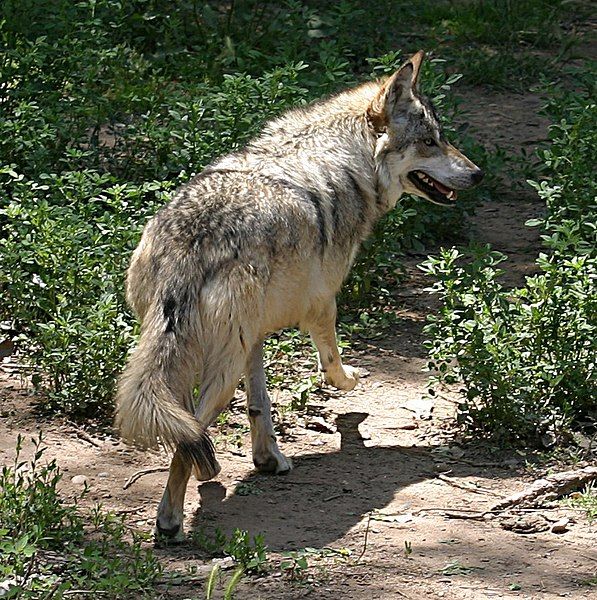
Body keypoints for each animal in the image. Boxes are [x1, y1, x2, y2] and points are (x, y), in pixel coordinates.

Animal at [114, 50, 482, 540]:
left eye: (441, 139)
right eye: (429, 142)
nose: (478, 174)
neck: (348, 158)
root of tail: (194, 240)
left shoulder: (254, 337)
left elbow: (260, 405)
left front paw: (268, 459)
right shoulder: (323, 304)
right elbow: (333, 367)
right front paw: (352, 387)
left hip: (198, 349)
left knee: (185, 423)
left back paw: (207, 469)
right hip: (220, 367)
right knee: (185, 439)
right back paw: (170, 519)